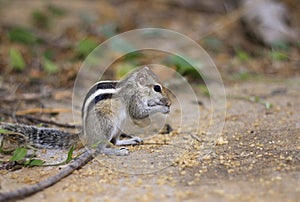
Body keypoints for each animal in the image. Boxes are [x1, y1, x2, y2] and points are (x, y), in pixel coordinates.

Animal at [0, 66, 171, 200]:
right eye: (157, 88)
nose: (169, 102)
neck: (135, 86)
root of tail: (86, 133)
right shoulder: (134, 100)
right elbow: (138, 114)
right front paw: (162, 107)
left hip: (119, 124)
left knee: (114, 141)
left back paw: (128, 141)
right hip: (107, 122)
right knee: (101, 146)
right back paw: (117, 151)